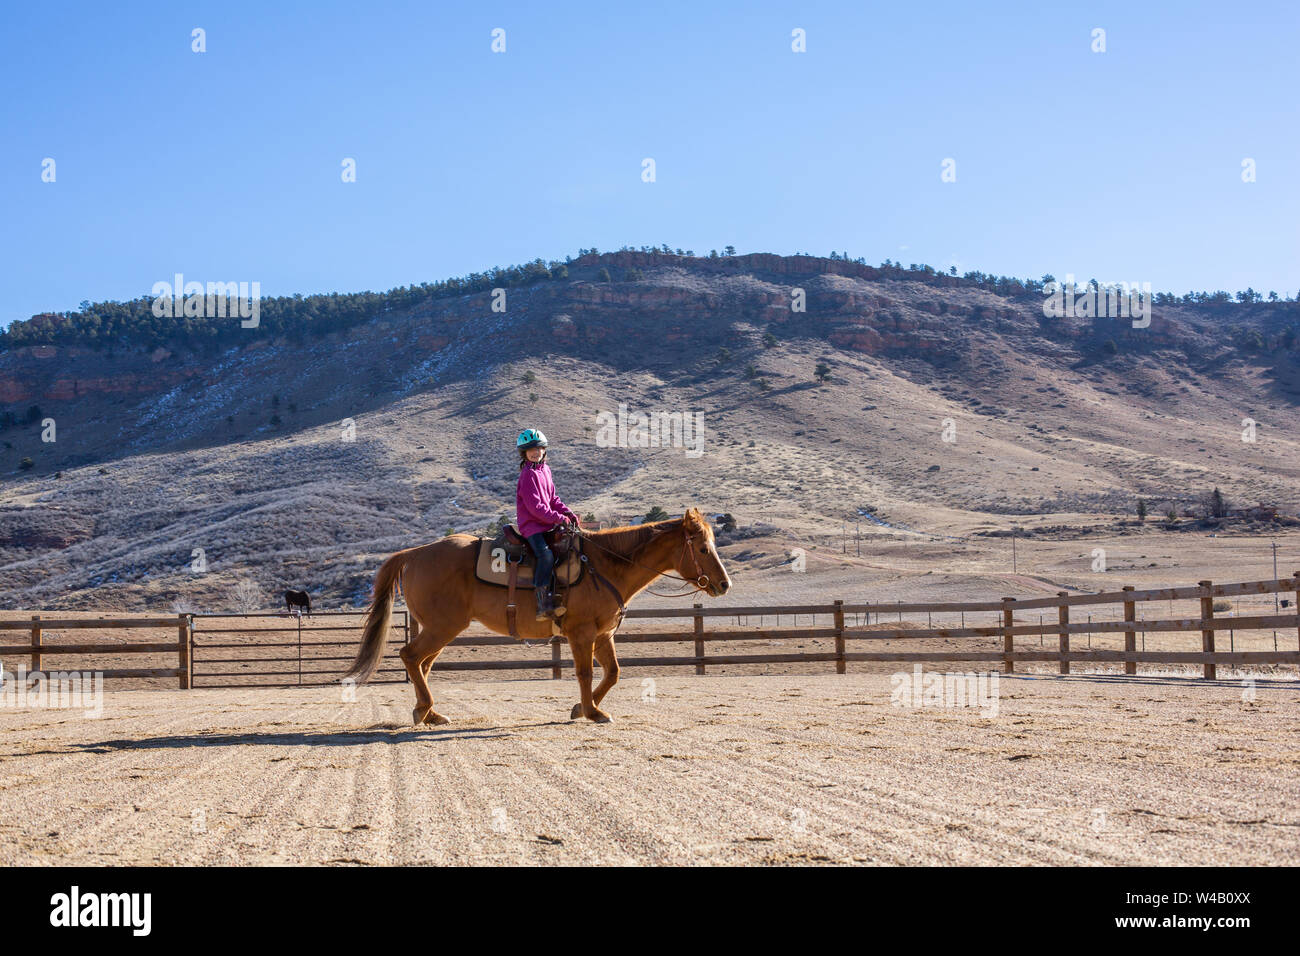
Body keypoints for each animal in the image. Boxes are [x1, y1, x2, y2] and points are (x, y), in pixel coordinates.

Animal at [345, 509, 733, 723]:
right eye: (702, 548)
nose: (724, 584)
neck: (604, 565)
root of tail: (414, 553)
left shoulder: (603, 635)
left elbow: (613, 673)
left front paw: (581, 708)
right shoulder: (581, 634)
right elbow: (584, 673)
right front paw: (592, 712)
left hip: (439, 628)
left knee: (422, 664)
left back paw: (429, 714)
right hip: (442, 627)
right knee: (410, 656)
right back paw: (425, 709)